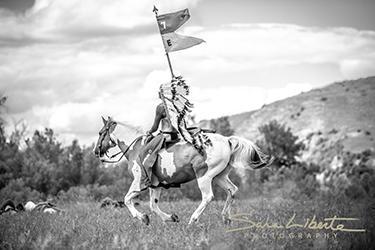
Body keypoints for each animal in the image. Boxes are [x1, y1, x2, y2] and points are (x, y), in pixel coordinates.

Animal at [93, 116, 276, 225]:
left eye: (101, 132)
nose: (96, 151)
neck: (137, 147)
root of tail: (227, 140)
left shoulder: (138, 182)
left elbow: (127, 200)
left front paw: (142, 217)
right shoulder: (156, 185)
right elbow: (153, 205)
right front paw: (170, 217)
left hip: (204, 177)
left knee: (208, 197)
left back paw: (193, 220)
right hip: (219, 176)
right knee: (232, 190)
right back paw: (226, 218)